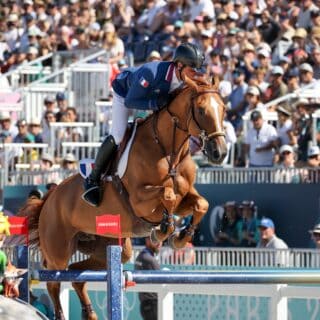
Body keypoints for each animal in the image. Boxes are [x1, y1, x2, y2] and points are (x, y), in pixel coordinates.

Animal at [18, 74, 228, 318]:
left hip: (109, 246)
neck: (168, 150)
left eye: (223, 109)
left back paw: (90, 314)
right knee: (54, 281)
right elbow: (167, 195)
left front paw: (181, 237)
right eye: (202, 110)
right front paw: (163, 230)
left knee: (76, 274)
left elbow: (201, 203)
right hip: (58, 250)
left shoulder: (185, 197)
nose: (220, 153)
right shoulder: (140, 199)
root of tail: (48, 199)